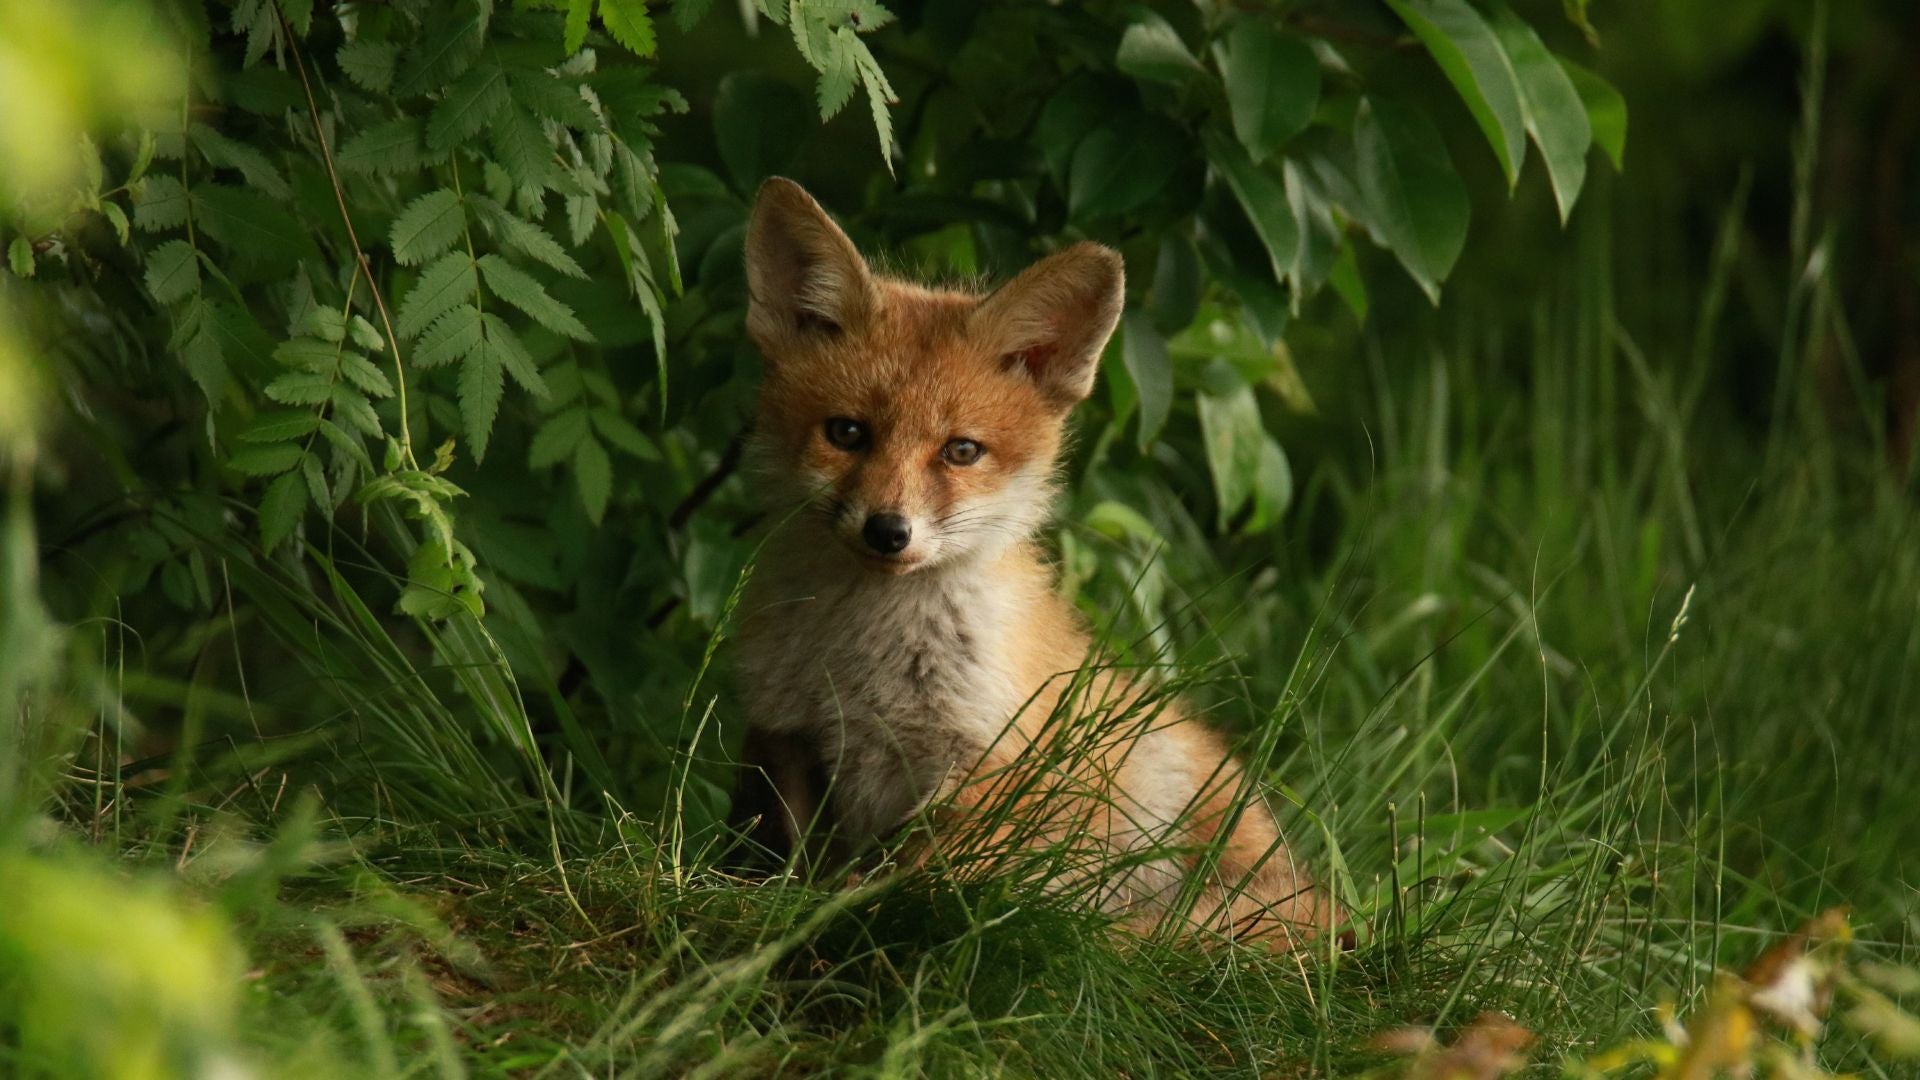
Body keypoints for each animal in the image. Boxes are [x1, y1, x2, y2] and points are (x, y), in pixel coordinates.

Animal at [727, 177, 1340, 951]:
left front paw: (848, 913)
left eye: (961, 451)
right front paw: (783, 906)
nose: (889, 531)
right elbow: (794, 858)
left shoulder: (989, 763)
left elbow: (913, 878)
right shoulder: (787, 733)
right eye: (846, 433)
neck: (864, 660)